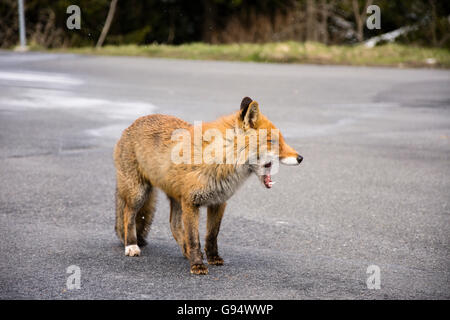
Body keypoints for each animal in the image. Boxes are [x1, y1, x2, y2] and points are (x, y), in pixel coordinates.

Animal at [113, 96, 302, 274]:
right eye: (272, 141)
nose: (301, 158)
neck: (221, 158)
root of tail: (131, 125)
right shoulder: (191, 202)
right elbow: (194, 238)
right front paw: (197, 265)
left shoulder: (218, 202)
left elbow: (212, 235)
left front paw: (213, 258)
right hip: (139, 193)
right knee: (128, 215)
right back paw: (131, 245)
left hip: (175, 198)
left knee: (173, 224)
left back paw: (185, 252)